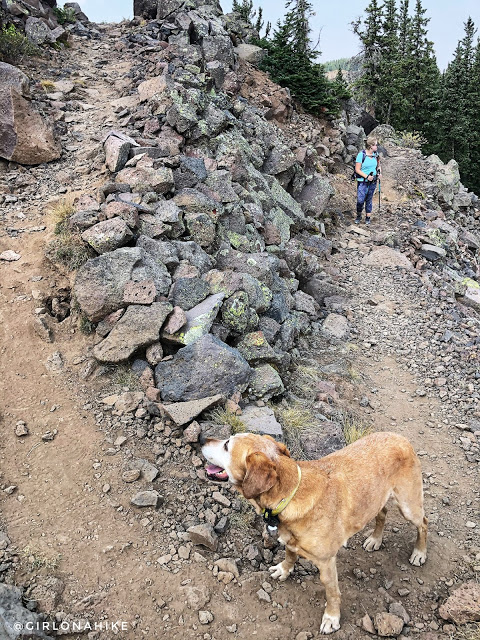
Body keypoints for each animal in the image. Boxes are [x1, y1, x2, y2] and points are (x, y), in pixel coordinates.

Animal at [201, 430, 426, 636]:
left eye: (227, 445)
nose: (202, 438)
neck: (289, 493)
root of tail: (399, 436)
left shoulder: (326, 562)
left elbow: (332, 593)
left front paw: (332, 618)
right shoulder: (290, 540)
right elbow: (290, 555)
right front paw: (284, 569)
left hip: (408, 506)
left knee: (423, 523)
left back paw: (419, 552)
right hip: (376, 498)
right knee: (383, 512)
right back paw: (375, 539)